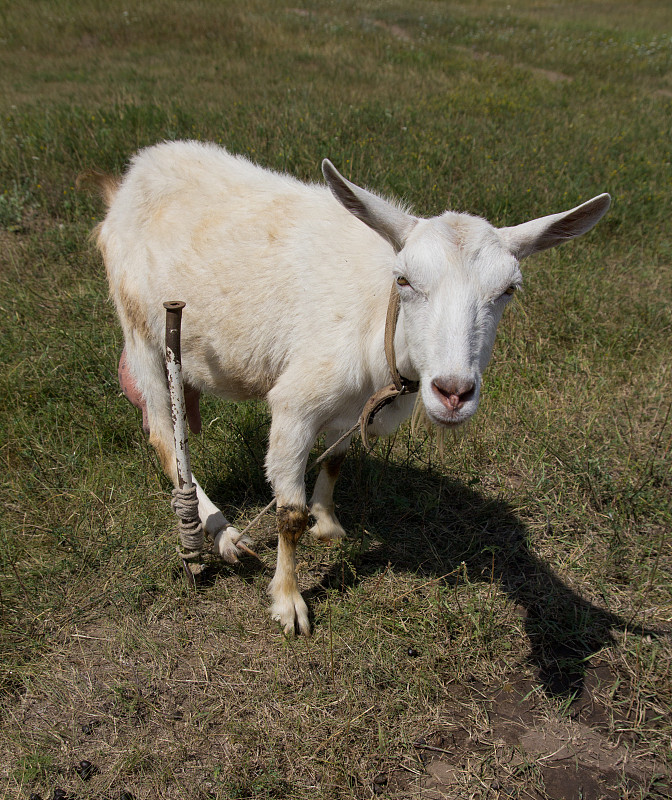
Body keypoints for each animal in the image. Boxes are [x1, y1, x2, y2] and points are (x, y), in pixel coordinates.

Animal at [92, 141, 612, 636]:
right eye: (404, 280)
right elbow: (289, 514)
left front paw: (328, 522)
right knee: (165, 436)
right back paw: (221, 535)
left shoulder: (350, 410)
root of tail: (133, 175)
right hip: (144, 333)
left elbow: (336, 461)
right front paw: (288, 601)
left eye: (509, 290)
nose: (453, 393)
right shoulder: (295, 406)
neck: (376, 319)